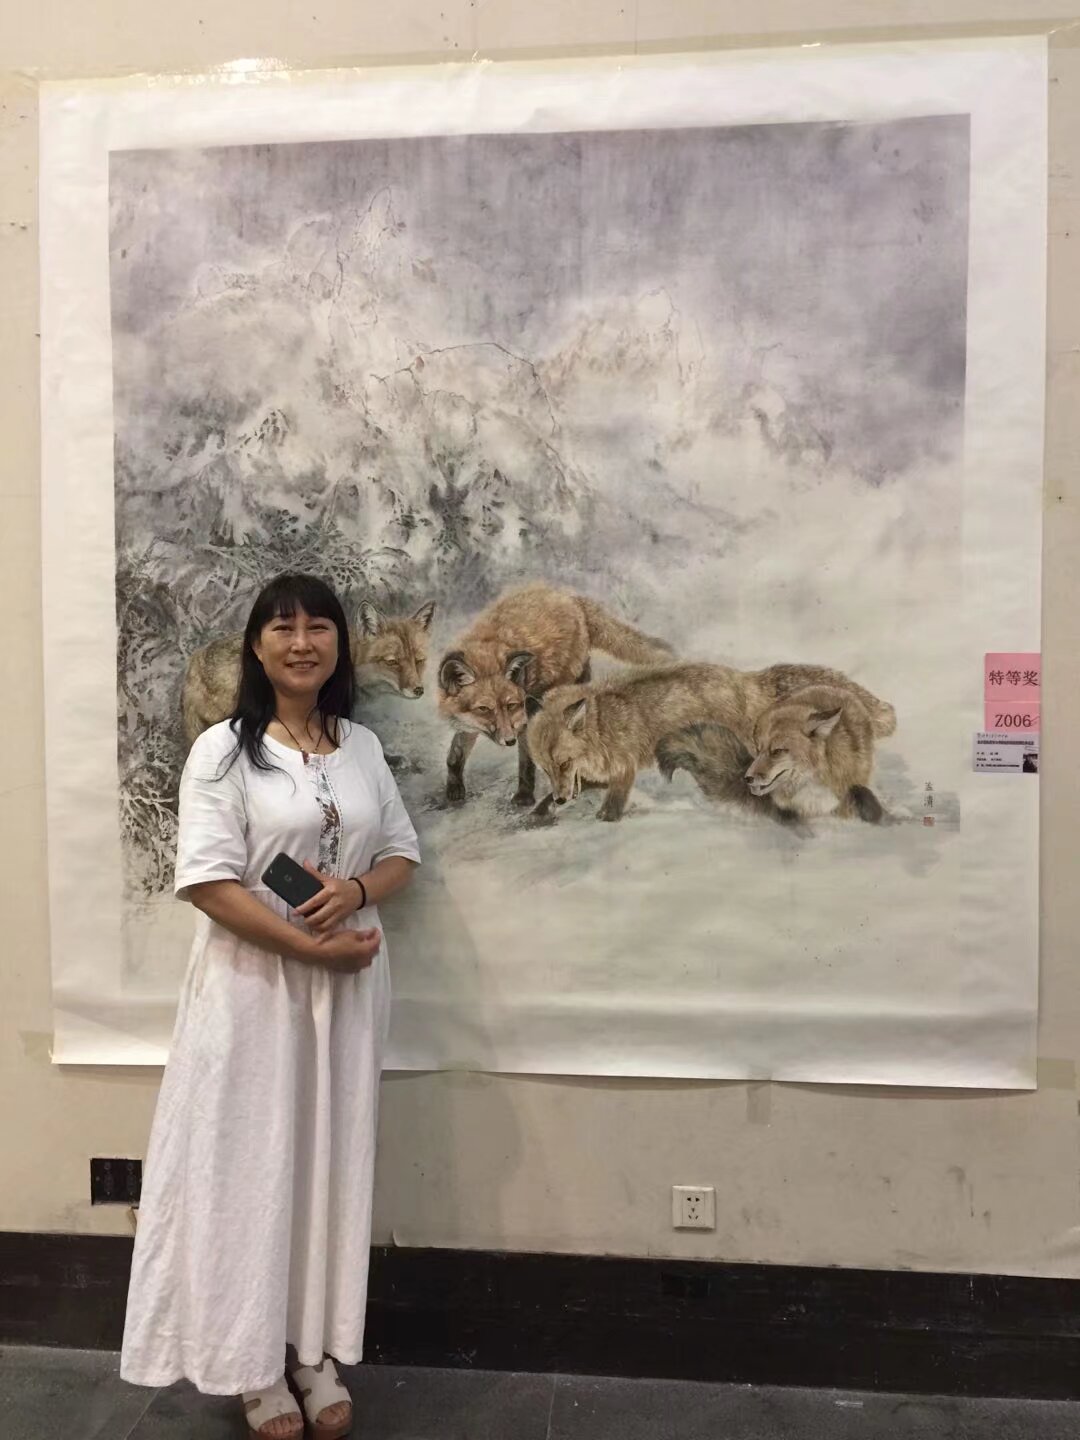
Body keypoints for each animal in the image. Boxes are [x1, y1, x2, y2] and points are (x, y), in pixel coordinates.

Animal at [437, 582, 673, 806]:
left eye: (511, 705)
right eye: (484, 709)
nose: (509, 741)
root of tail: (569, 596)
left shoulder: (526, 717)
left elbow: (526, 763)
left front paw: (524, 795)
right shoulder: (468, 723)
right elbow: (455, 755)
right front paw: (454, 788)